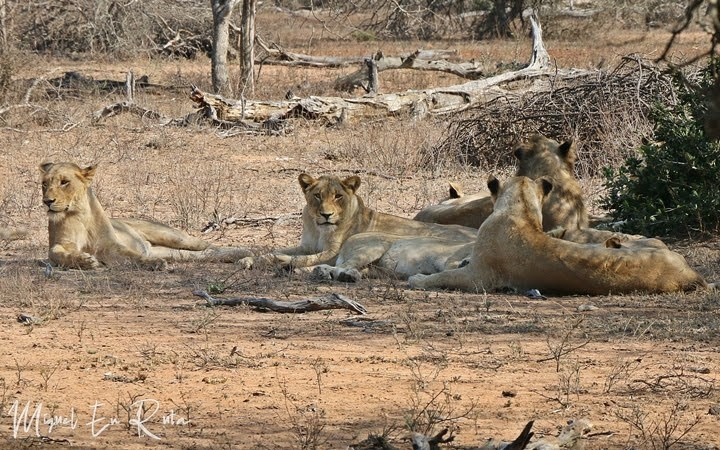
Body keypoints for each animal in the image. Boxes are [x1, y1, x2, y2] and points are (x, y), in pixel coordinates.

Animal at [40, 162, 252, 270]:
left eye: (64, 182)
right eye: (44, 183)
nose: (47, 201)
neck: (78, 214)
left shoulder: (111, 246)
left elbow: (131, 255)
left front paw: (153, 264)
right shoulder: (62, 243)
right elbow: (56, 254)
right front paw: (84, 261)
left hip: (175, 237)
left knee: (211, 247)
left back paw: (248, 257)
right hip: (174, 252)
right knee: (204, 255)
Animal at [240, 173, 477, 272]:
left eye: (338, 196)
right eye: (317, 195)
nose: (326, 215)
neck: (318, 228)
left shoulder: (332, 252)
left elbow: (302, 259)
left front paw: (269, 261)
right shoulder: (306, 245)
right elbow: (271, 250)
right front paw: (248, 257)